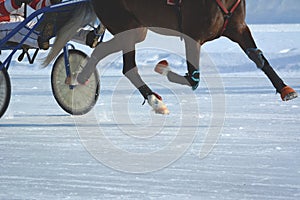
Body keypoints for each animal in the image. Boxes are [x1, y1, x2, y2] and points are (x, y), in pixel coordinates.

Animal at [46, 0, 298, 114]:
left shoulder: (238, 28)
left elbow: (259, 59)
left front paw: (285, 89)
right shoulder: (193, 35)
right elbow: (193, 78)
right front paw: (164, 68)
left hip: (134, 28)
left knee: (108, 55)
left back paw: (78, 78)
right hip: (128, 27)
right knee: (124, 64)